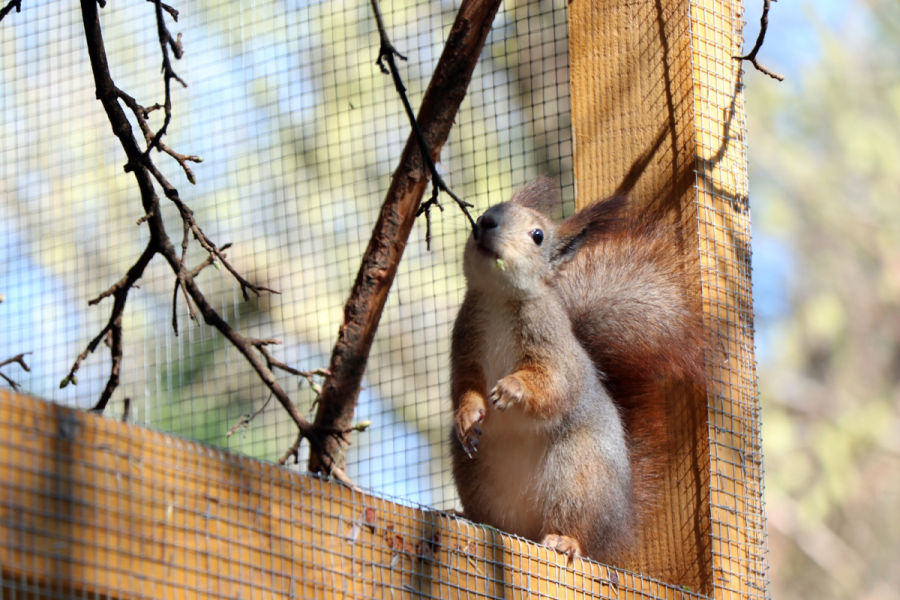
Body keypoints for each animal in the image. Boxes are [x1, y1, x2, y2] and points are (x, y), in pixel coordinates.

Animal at [448, 176, 704, 564]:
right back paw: (470, 518)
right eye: (487, 212)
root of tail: (619, 525)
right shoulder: (464, 346)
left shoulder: (556, 350)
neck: (498, 300)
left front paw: (513, 388)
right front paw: (468, 414)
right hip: (476, 476)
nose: (486, 223)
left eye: (538, 235)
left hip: (579, 475)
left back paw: (566, 541)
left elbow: (555, 385)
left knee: (578, 528)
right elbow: (463, 386)